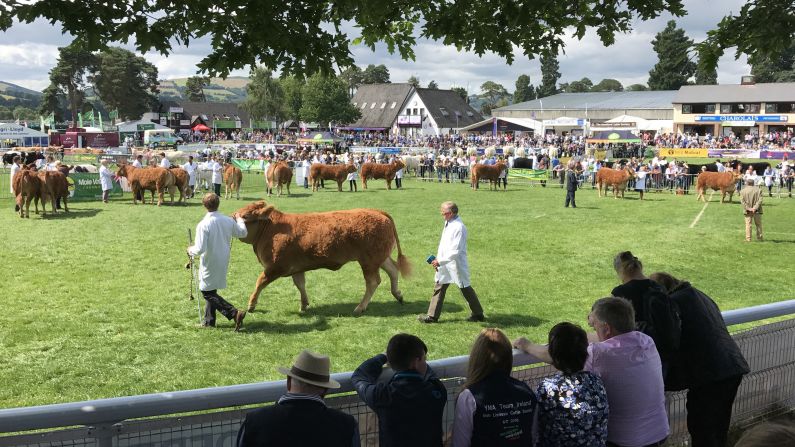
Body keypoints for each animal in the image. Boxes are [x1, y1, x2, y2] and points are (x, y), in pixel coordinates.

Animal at [235, 202, 410, 316]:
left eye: (245, 216)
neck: (271, 229)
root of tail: (377, 212)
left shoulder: (275, 267)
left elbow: (260, 282)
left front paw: (251, 305)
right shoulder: (296, 267)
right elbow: (300, 284)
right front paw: (304, 304)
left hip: (369, 261)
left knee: (373, 282)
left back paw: (360, 307)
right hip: (379, 257)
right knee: (393, 270)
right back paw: (398, 295)